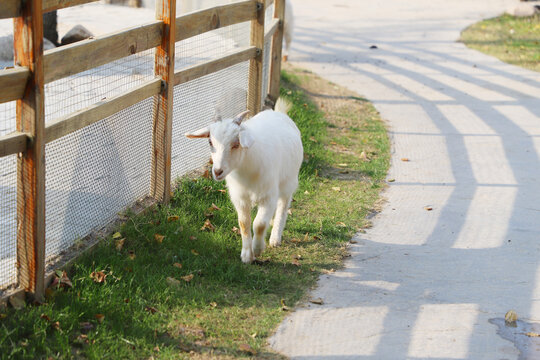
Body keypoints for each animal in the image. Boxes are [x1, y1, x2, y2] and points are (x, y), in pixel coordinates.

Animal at [186, 97, 304, 262]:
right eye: (210, 142)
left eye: (236, 144)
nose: (217, 171)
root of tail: (278, 113)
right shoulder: (240, 197)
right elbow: (244, 223)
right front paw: (247, 255)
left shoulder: (268, 195)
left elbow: (259, 224)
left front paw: (258, 249)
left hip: (288, 181)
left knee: (283, 206)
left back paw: (275, 238)